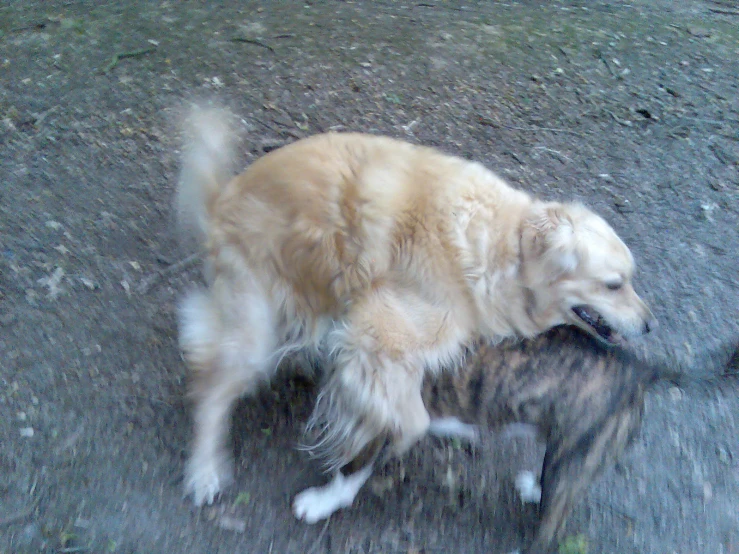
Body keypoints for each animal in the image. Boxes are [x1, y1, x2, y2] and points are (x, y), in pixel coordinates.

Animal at [176, 104, 656, 504]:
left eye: (631, 279)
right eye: (614, 284)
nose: (650, 325)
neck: (504, 248)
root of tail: (222, 197)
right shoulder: (381, 338)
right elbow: (412, 419)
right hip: (253, 321)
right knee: (211, 386)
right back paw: (204, 472)